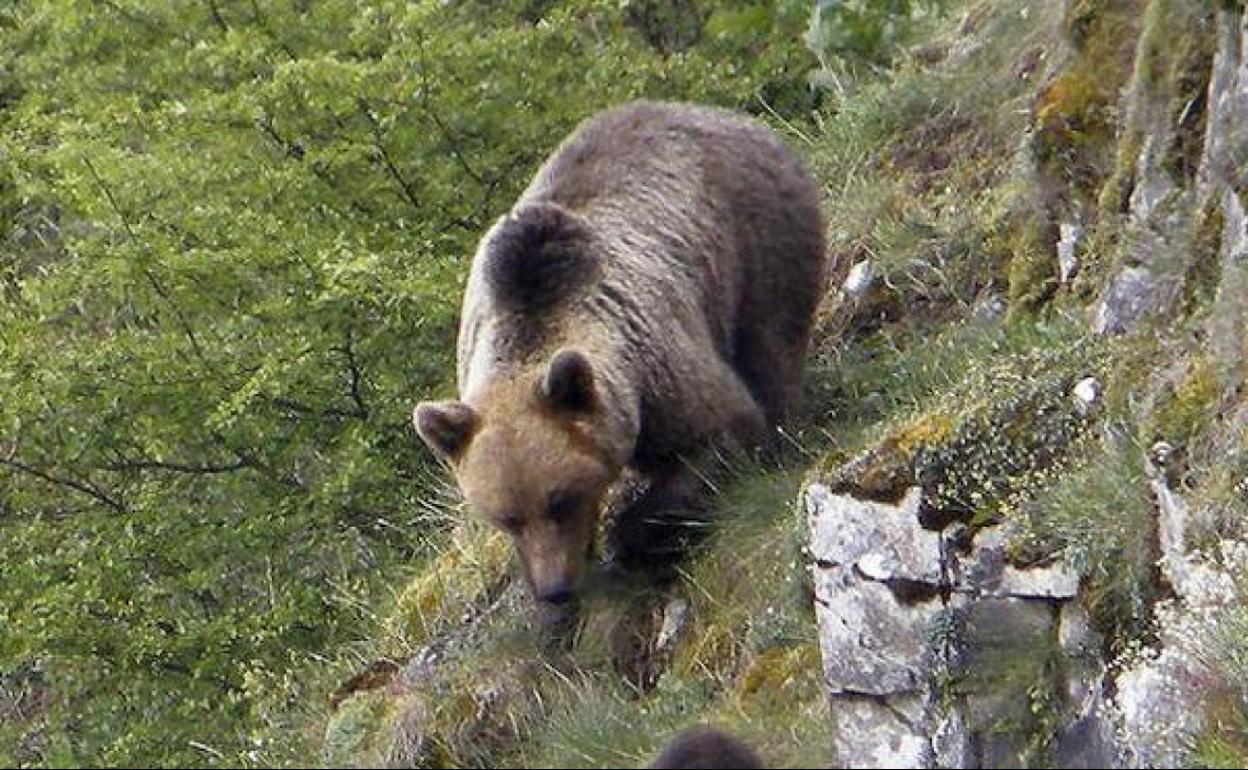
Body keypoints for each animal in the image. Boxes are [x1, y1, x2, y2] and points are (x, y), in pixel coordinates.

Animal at [414, 100, 829, 627]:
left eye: (559, 500)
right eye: (507, 516)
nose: (554, 590)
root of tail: (717, 113)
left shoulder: (656, 370)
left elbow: (723, 429)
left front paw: (631, 536)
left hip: (760, 234)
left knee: (771, 342)